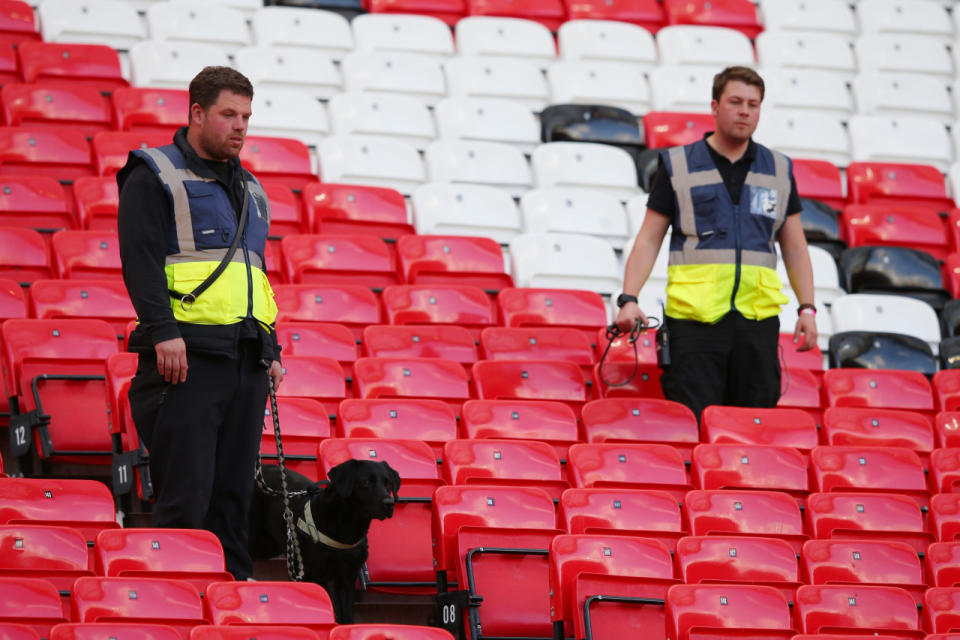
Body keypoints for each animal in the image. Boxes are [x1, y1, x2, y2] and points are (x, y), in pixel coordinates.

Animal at [249, 460, 400, 624]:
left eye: (388, 483)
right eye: (366, 482)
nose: (389, 503)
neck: (346, 529)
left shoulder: (347, 578)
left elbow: (346, 617)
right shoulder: (311, 576)